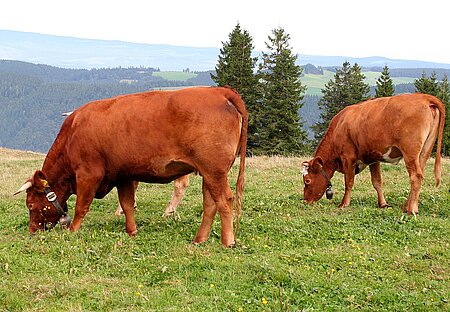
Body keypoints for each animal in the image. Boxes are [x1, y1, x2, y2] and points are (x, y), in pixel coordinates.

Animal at [14, 86, 246, 247]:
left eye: (31, 205)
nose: (32, 231)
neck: (73, 132)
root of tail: (218, 91)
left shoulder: (89, 174)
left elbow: (82, 206)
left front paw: (73, 231)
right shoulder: (123, 175)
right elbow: (127, 204)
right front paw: (131, 231)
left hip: (214, 171)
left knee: (224, 200)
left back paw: (228, 241)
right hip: (209, 173)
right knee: (210, 203)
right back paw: (199, 239)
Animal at [302, 92, 446, 214]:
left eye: (307, 180)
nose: (305, 201)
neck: (339, 126)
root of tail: (424, 97)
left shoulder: (348, 157)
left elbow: (349, 182)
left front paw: (344, 204)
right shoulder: (374, 158)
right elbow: (377, 182)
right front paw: (383, 204)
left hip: (410, 152)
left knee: (415, 176)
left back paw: (411, 210)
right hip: (424, 151)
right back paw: (407, 206)